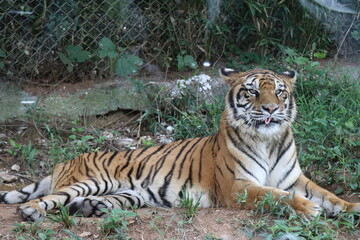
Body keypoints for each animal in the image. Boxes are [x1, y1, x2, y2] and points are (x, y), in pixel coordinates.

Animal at [0, 67, 358, 221]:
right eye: (253, 91)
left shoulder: (295, 179)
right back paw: (32, 212)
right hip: (89, 181)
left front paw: (350, 208)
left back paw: (90, 209)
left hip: (131, 193)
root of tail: (64, 162)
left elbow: (329, 195)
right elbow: (275, 196)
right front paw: (307, 208)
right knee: (45, 200)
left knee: (87, 203)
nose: (271, 109)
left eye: (280, 92)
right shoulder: (238, 187)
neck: (268, 140)